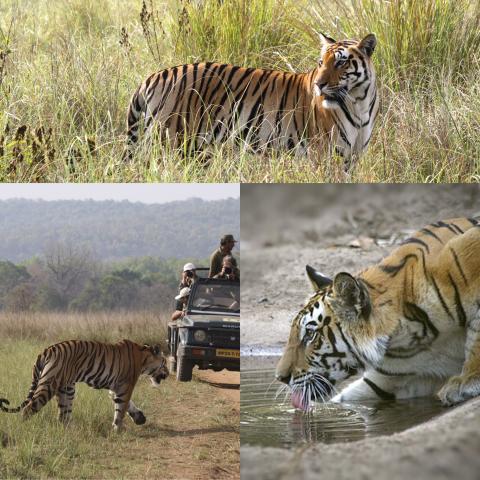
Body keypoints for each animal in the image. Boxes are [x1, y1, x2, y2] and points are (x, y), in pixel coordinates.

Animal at [0, 338, 169, 432]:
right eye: (165, 362)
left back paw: (70, 431)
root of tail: (47, 349)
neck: (144, 358)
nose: (168, 373)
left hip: (67, 389)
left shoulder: (115, 388)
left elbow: (125, 405)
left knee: (63, 415)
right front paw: (118, 428)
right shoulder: (125, 386)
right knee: (28, 409)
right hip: (50, 384)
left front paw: (139, 418)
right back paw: (23, 429)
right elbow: (121, 408)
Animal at [124, 31, 378, 167]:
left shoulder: (352, 157)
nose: (319, 85)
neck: (359, 102)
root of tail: (154, 75)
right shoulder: (325, 156)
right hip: (173, 142)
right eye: (320, 63)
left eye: (341, 62)